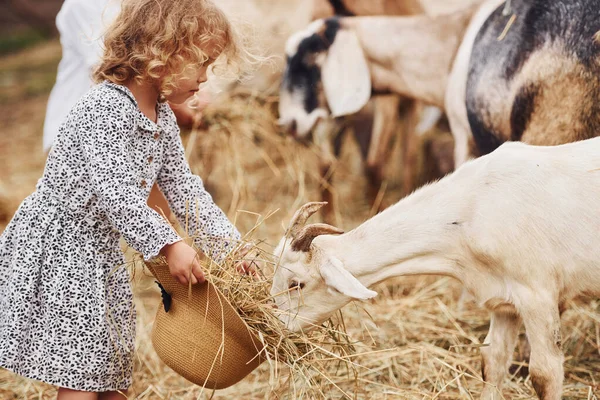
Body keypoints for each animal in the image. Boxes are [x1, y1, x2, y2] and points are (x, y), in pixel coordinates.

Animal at [270, 138, 600, 400]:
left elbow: (545, 375)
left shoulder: (537, 295)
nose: (272, 330)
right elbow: (491, 362)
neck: (472, 209)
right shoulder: (503, 302)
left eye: (295, 283)